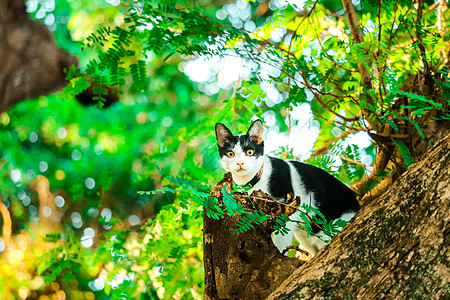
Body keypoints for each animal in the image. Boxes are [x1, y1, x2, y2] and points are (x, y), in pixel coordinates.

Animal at [216, 119, 360, 255]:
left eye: (250, 152)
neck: (252, 181)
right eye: (230, 154)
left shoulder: (285, 213)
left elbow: (279, 241)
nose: (240, 163)